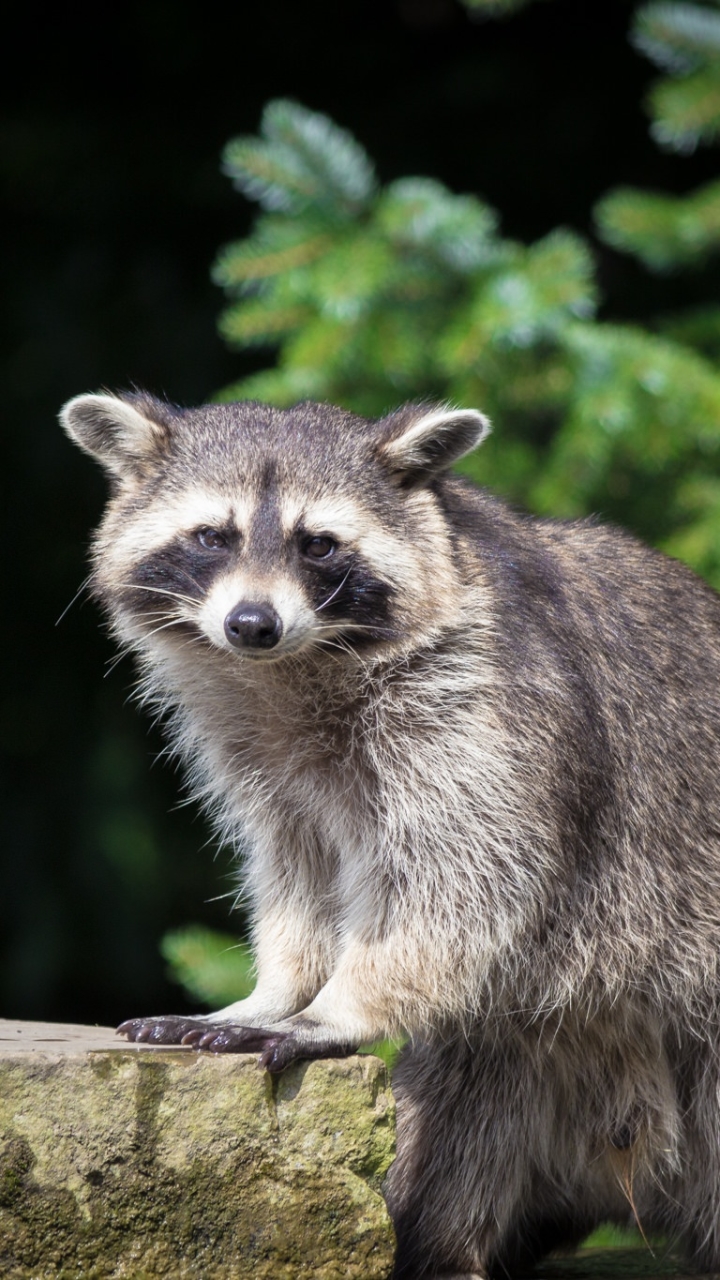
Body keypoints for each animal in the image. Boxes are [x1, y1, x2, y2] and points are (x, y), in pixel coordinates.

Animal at [62, 390, 720, 1279]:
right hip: (519, 1071)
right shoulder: (265, 764)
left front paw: (337, 1005)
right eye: (211, 536)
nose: (252, 623)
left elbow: (472, 878)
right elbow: (296, 873)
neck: (293, 671)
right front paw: (281, 985)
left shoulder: (492, 708)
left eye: (318, 544)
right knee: (447, 1147)